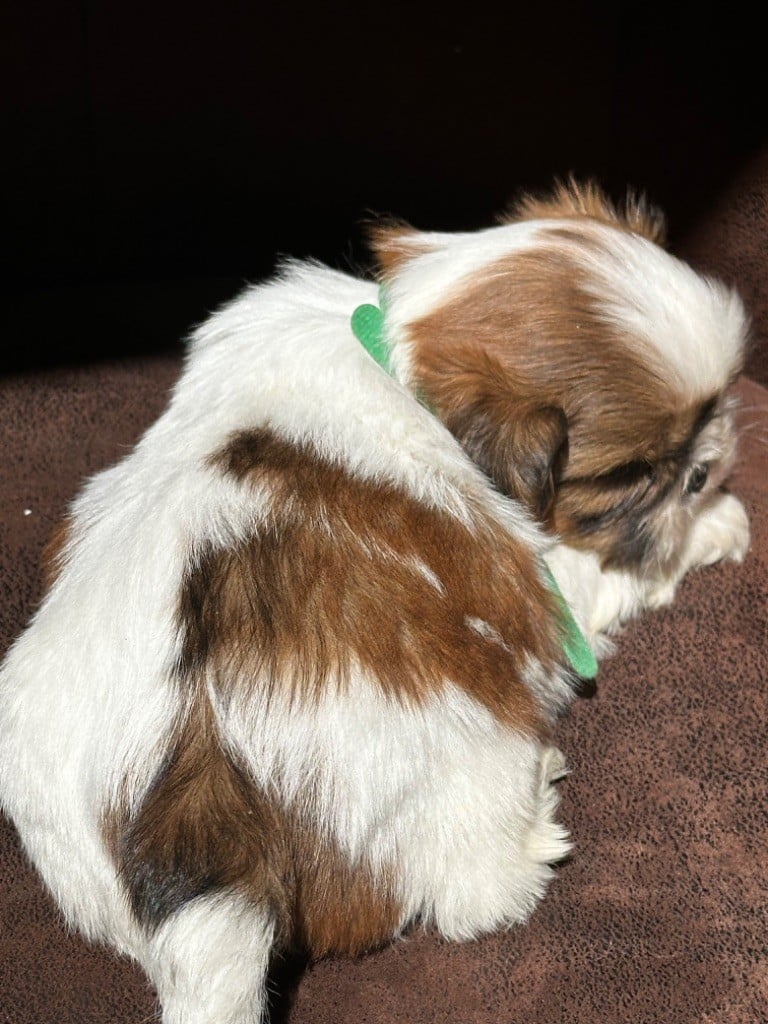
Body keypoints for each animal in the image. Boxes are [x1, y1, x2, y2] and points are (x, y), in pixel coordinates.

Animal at [0, 181, 750, 1023]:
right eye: (627, 477)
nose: (705, 463)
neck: (393, 348)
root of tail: (201, 827)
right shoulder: (555, 574)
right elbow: (620, 567)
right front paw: (718, 522)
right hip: (470, 756)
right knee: (473, 896)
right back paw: (536, 822)